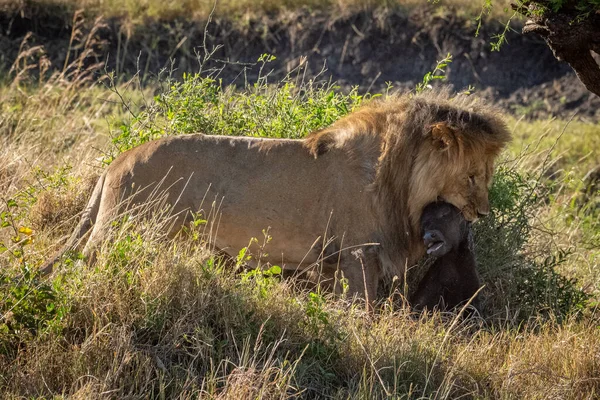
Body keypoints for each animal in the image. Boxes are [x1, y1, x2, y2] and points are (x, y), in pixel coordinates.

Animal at [41, 91, 510, 304]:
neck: (402, 182)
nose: (484, 212)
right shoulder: (359, 253)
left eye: (487, 175)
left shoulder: (333, 261)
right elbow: (364, 308)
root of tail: (114, 163)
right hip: (121, 233)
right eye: (473, 177)